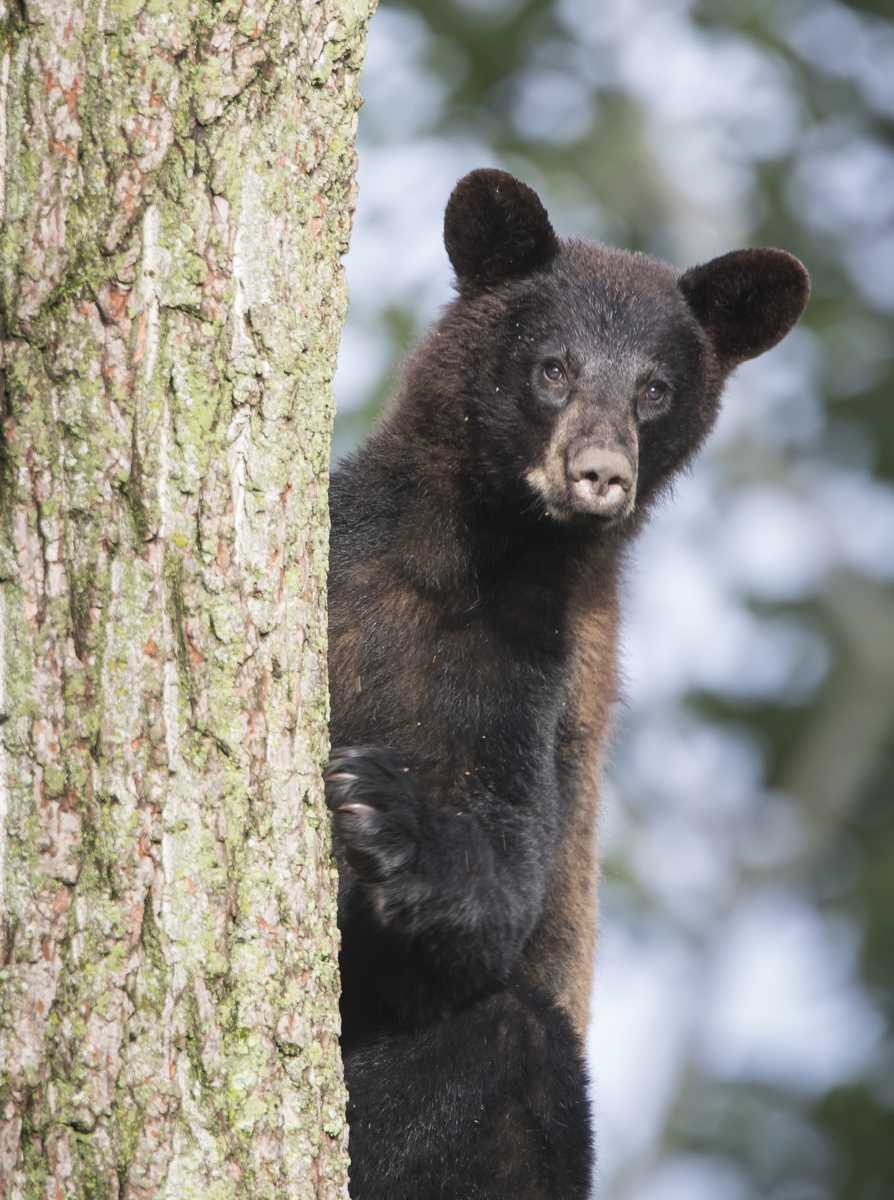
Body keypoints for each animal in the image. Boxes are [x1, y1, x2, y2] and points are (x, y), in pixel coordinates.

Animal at [324, 168, 809, 1199]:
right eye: (553, 367)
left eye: (655, 388)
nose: (600, 475)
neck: (457, 565)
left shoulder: (531, 681)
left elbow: (502, 894)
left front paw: (392, 817)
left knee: (521, 1049)